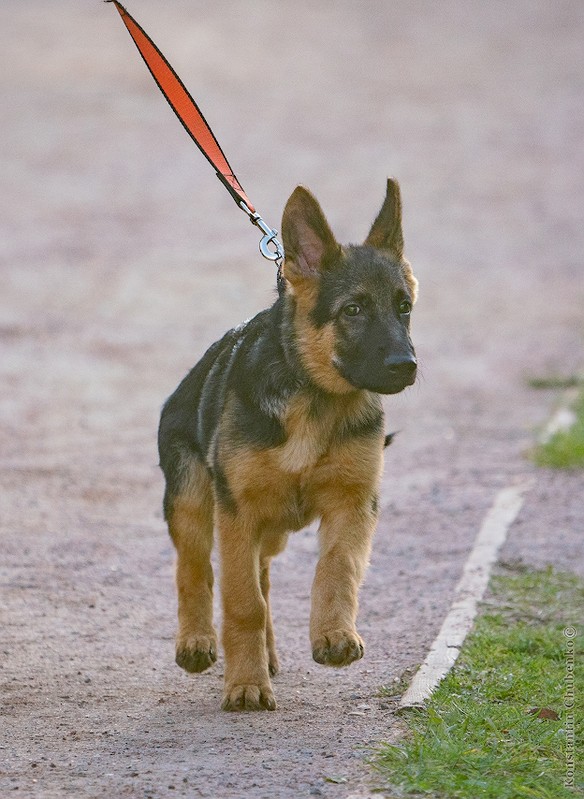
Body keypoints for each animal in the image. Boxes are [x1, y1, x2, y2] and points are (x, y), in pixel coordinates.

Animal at [157, 181, 418, 712]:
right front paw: (245, 685)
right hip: (194, 500)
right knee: (195, 569)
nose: (407, 365)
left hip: (269, 527)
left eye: (404, 307)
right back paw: (197, 641)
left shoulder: (353, 504)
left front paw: (334, 634)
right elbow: (241, 603)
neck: (314, 400)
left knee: (262, 575)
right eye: (353, 310)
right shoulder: (237, 512)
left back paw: (269, 654)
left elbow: (336, 569)